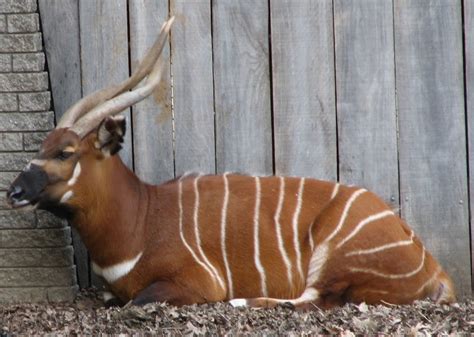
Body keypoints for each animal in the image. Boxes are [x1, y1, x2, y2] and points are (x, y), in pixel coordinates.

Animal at [4, 17, 456, 308]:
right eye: (43, 144)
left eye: (66, 152)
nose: (14, 191)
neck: (141, 220)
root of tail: (434, 269)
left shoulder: (196, 281)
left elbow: (138, 302)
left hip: (335, 262)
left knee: (314, 300)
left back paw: (242, 301)